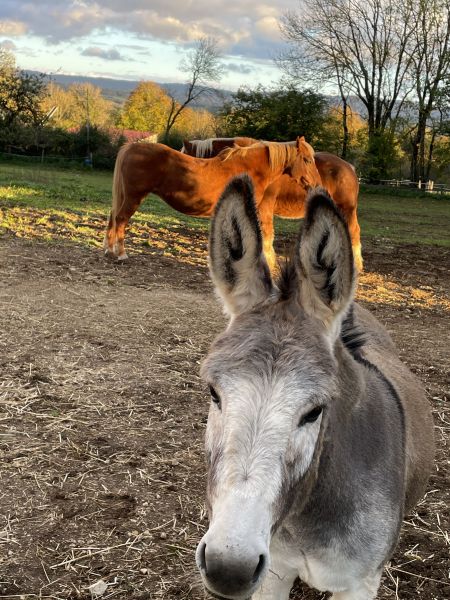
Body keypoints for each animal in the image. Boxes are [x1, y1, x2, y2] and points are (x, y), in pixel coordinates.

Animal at [103, 138, 322, 268]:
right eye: (307, 159)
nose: (317, 185)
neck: (250, 169)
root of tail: (132, 147)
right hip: (133, 197)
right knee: (120, 219)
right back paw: (121, 254)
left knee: (113, 217)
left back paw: (108, 250)